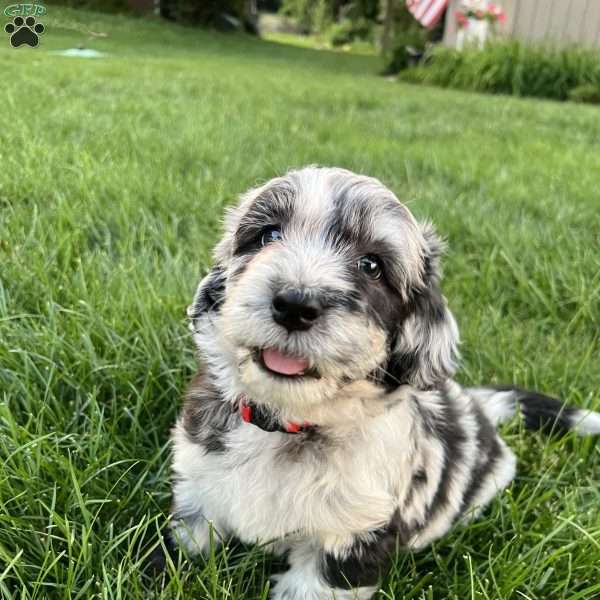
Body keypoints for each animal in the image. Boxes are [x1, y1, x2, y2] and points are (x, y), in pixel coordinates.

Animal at [165, 165, 600, 600]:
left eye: (371, 266)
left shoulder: (353, 535)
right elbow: (179, 550)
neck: (291, 423)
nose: (295, 304)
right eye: (268, 236)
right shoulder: (196, 491)